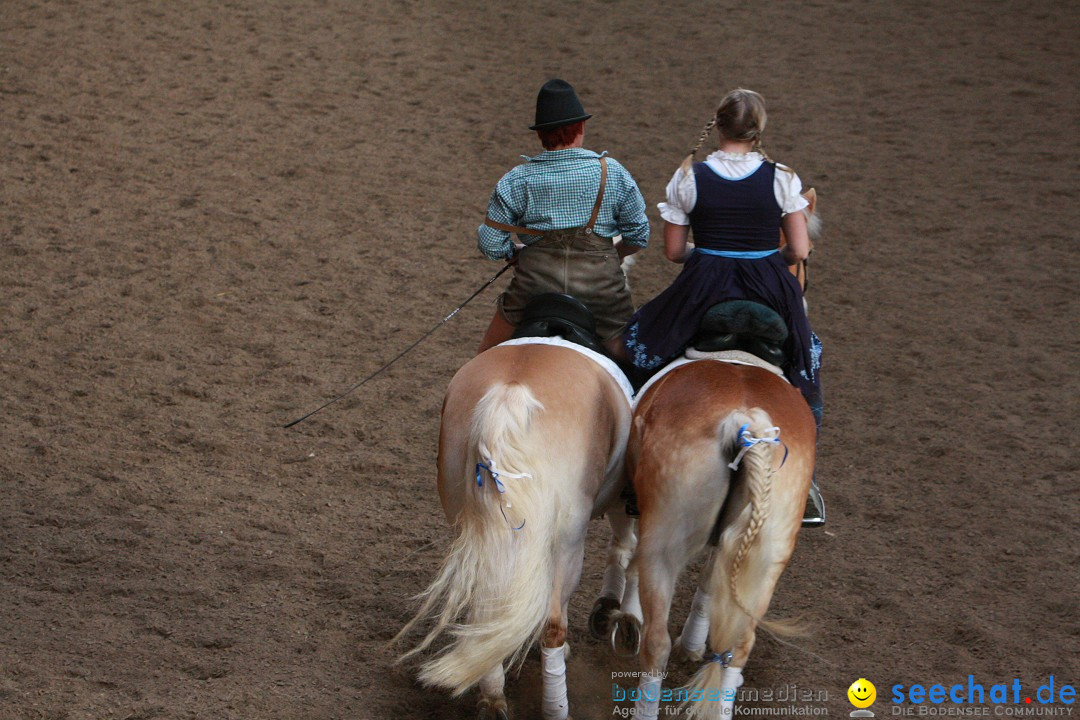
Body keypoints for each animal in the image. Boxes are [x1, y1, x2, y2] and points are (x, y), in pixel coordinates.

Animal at [395, 338, 630, 720]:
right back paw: (555, 705)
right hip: (567, 541)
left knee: (487, 607)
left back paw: (491, 695)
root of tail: (509, 394)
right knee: (552, 623)